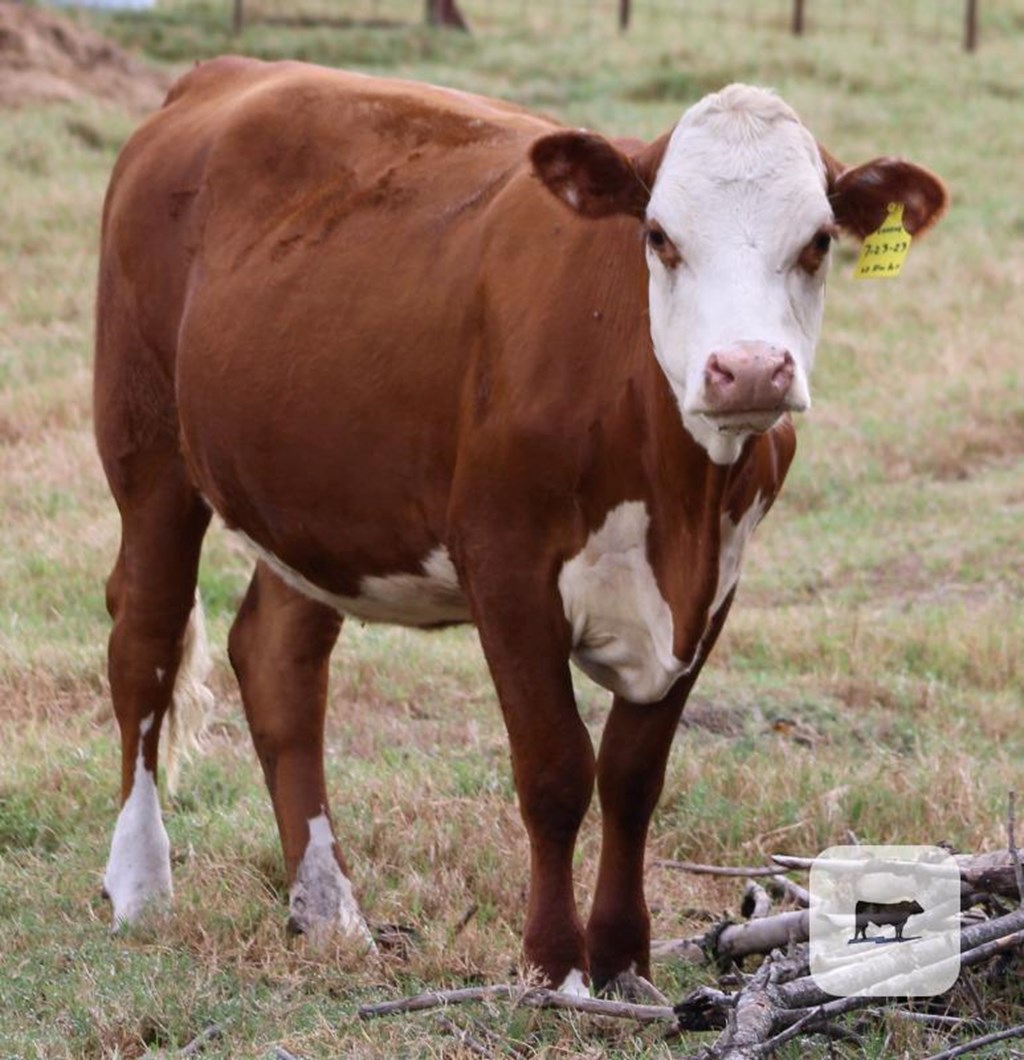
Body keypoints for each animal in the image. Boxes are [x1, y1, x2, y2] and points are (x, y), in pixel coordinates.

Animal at [94, 60, 945, 992]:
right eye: (659, 235)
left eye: (820, 240)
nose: (749, 369)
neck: (678, 493)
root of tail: (223, 75)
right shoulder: (505, 566)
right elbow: (556, 768)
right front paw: (555, 968)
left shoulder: (715, 582)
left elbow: (633, 775)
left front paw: (623, 961)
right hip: (147, 446)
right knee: (144, 641)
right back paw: (140, 885)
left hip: (310, 499)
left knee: (279, 664)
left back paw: (328, 912)